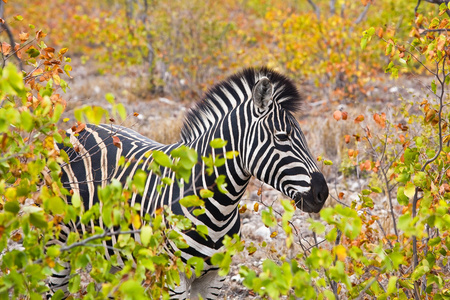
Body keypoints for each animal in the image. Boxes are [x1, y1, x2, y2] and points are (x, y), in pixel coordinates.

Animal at [52, 67, 328, 298]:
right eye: (282, 137)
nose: (322, 194)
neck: (219, 208)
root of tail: (79, 127)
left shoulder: (215, 278)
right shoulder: (174, 277)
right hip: (59, 244)